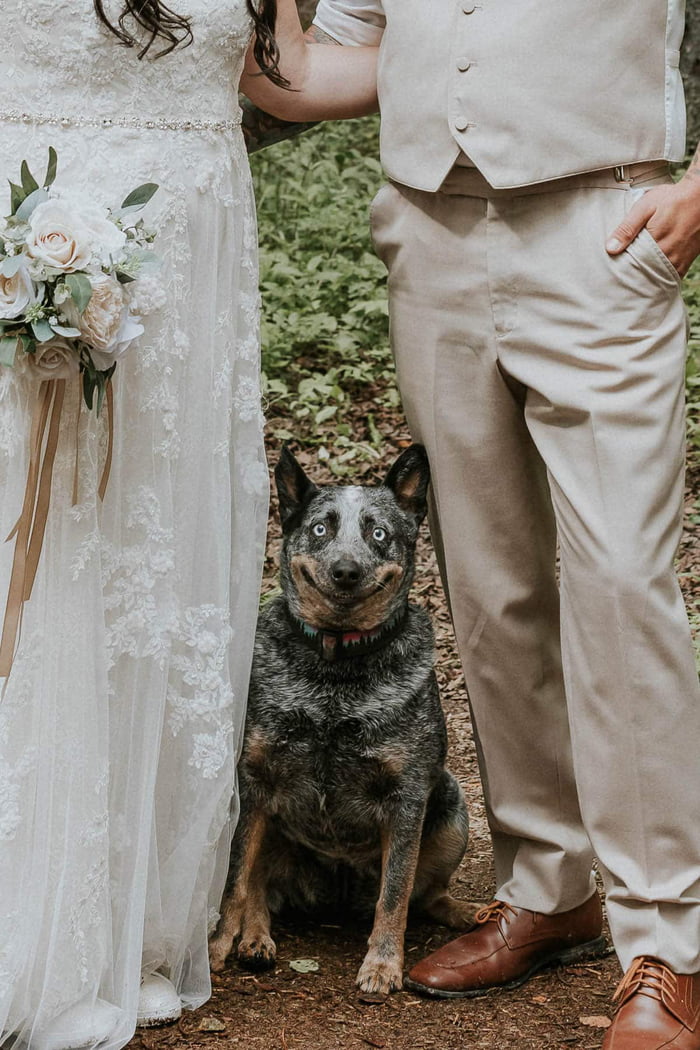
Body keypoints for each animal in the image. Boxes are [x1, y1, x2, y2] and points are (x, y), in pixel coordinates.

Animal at [207, 440, 470, 991]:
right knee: (260, 889)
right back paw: (255, 939)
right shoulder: (254, 781)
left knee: (426, 894)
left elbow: (395, 895)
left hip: (452, 808)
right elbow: (237, 880)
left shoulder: (408, 796)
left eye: (378, 533)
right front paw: (218, 946)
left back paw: (464, 912)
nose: (346, 570)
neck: (335, 676)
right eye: (321, 529)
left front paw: (383, 965)